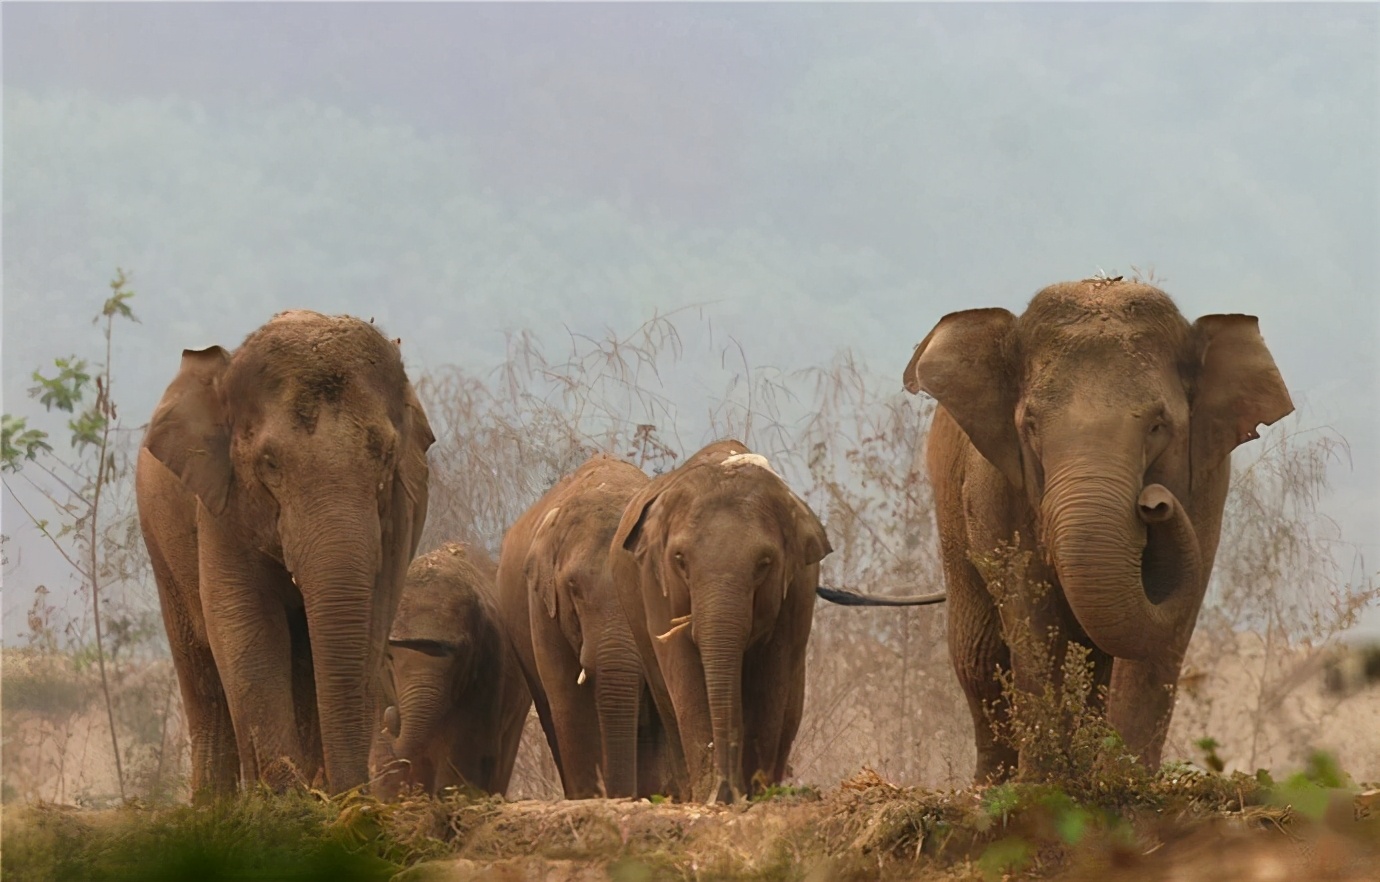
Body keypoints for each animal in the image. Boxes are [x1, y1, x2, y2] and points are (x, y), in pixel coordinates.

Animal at [135, 310, 433, 800]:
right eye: (270, 463)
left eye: (386, 455)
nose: (355, 797)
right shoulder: (221, 505)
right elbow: (245, 624)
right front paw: (283, 803)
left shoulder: (401, 511)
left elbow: (372, 618)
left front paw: (316, 799)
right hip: (159, 543)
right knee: (200, 670)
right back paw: (213, 806)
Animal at [496, 455, 673, 800]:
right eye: (573, 588)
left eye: (640, 584)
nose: (622, 796)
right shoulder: (541, 606)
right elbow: (570, 703)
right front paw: (591, 798)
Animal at [612, 438, 828, 806]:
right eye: (680, 560)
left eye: (765, 563)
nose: (723, 792)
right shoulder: (655, 585)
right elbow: (682, 667)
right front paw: (709, 796)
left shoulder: (798, 590)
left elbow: (771, 674)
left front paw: (752, 794)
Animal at [850, 278, 1291, 784]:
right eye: (1031, 425)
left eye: (1159, 425)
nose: (1154, 502)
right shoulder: (998, 488)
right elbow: (1030, 611)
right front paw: (1045, 784)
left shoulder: (1205, 487)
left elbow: (1161, 632)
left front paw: (1124, 781)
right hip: (948, 513)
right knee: (977, 655)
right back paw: (990, 785)